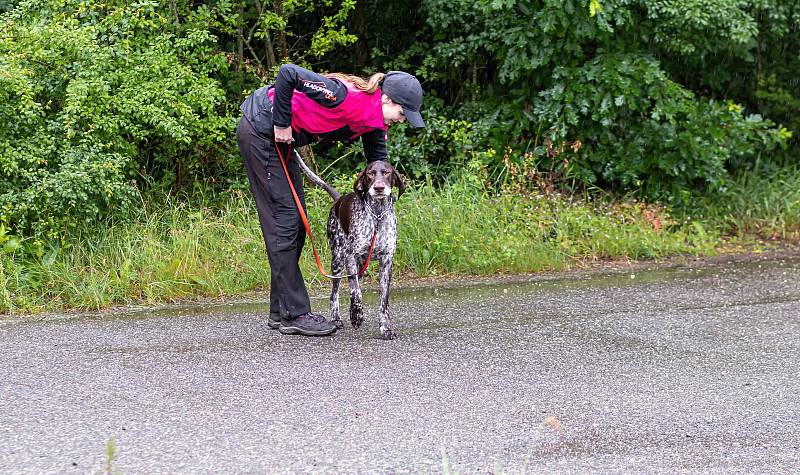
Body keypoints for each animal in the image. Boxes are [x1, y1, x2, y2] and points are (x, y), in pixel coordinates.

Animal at [296, 154, 406, 340]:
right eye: (370, 173)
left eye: (387, 172)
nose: (379, 188)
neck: (377, 216)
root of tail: (338, 200)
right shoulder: (351, 257)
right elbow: (356, 292)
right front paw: (356, 315)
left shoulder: (386, 263)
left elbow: (384, 301)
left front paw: (385, 328)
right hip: (338, 261)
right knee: (335, 293)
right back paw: (336, 318)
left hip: (359, 265)